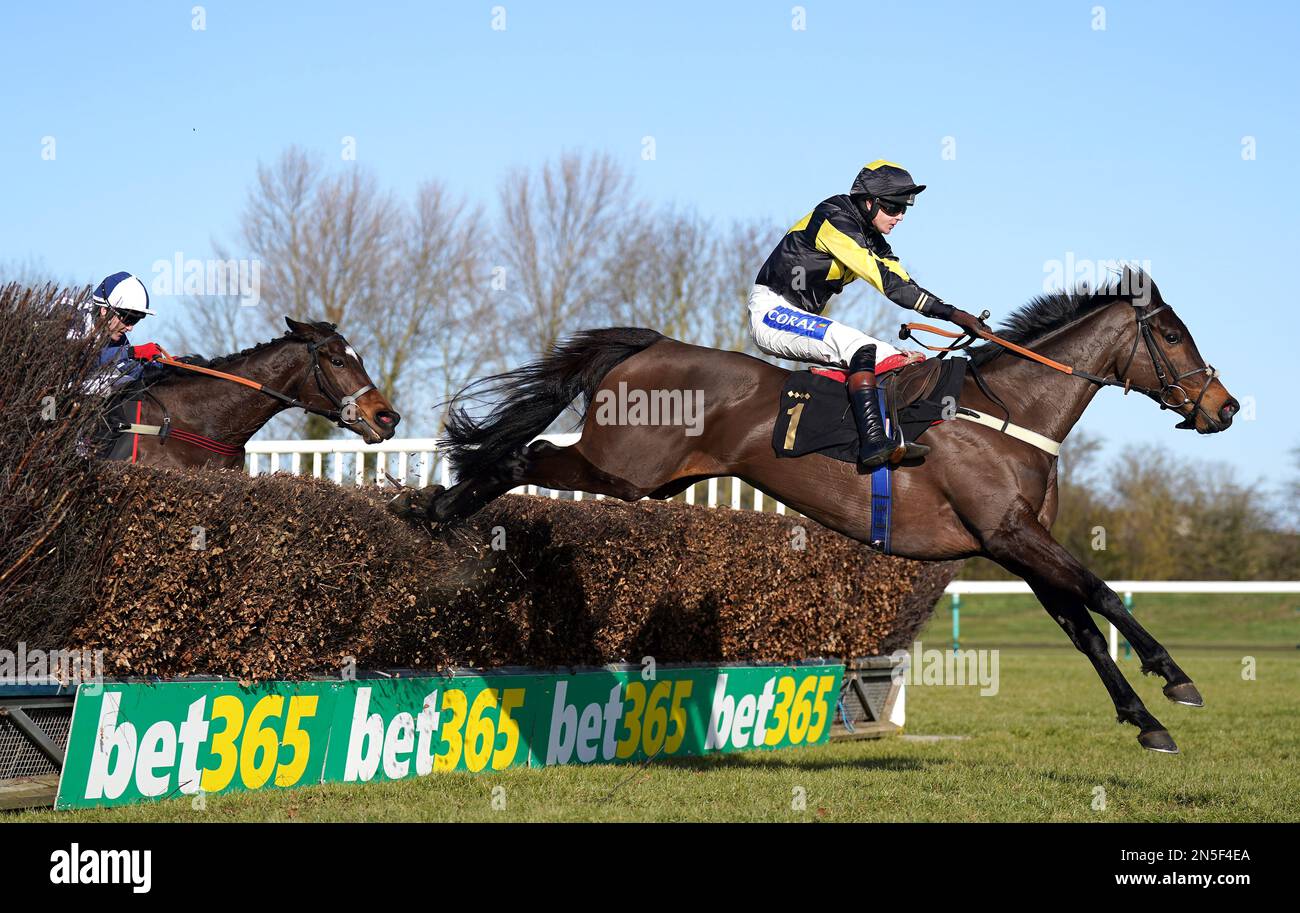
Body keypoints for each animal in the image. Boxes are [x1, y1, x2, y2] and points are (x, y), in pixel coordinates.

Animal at [392, 271, 1237, 759]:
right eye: (1170, 332)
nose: (1224, 407)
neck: (1005, 413)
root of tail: (650, 343)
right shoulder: (1010, 531)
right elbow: (1101, 594)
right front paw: (1176, 678)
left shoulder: (1011, 545)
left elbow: (1084, 627)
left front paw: (1143, 717)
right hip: (624, 469)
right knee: (523, 455)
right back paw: (437, 509)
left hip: (646, 480)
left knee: (526, 452)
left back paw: (437, 509)